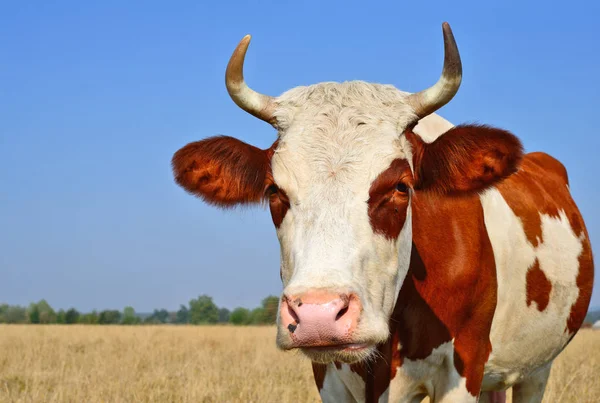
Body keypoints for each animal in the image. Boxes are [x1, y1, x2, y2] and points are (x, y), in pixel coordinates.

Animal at [170, 23, 596, 402]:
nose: (319, 314)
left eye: (401, 187)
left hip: (535, 370)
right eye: (274, 190)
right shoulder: (329, 376)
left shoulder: (463, 369)